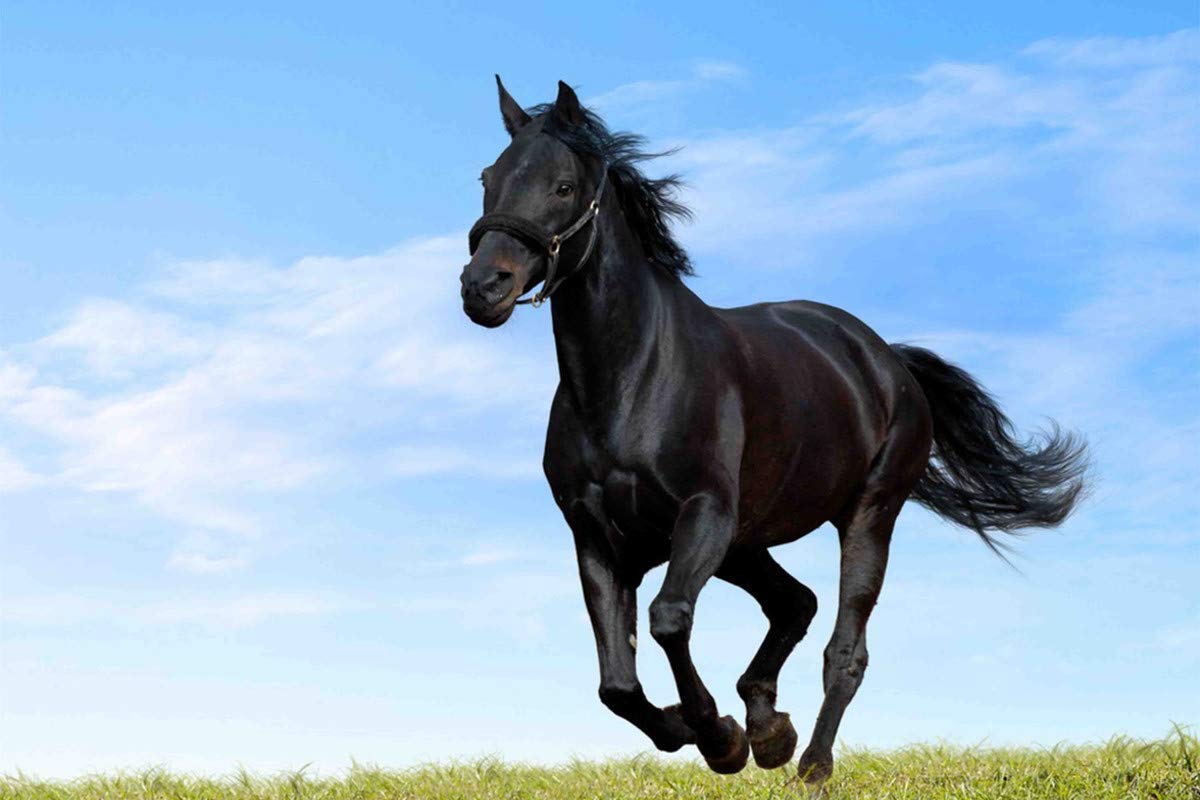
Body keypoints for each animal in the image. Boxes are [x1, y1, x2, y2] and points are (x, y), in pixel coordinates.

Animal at [458, 77, 1088, 784]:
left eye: (563, 186)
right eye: (488, 178)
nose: (483, 287)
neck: (628, 381)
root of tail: (887, 360)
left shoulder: (703, 514)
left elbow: (668, 620)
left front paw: (719, 737)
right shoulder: (597, 536)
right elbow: (616, 683)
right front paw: (703, 729)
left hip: (865, 516)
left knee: (844, 648)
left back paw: (808, 762)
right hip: (746, 543)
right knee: (795, 604)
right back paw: (769, 729)